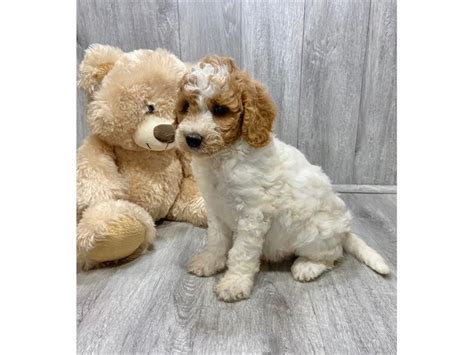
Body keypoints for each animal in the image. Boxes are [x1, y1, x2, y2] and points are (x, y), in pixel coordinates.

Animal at [174, 55, 388, 304]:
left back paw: (307, 267)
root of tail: (344, 231)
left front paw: (234, 282)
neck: (223, 158)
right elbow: (217, 240)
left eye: (219, 109)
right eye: (185, 107)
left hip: (314, 234)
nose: (192, 138)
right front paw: (209, 262)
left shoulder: (253, 215)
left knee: (331, 256)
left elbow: (241, 252)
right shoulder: (216, 210)